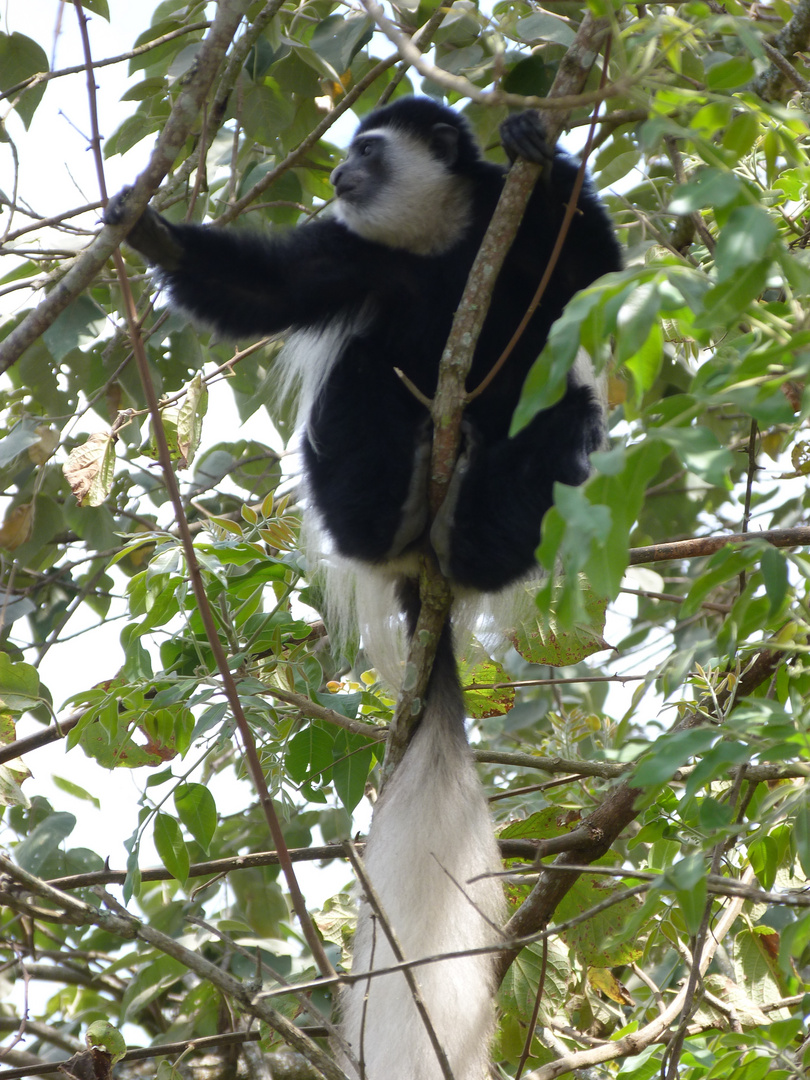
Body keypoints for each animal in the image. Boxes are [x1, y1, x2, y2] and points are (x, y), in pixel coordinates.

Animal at [106, 97, 622, 1075]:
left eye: (369, 150)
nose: (342, 176)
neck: (442, 245)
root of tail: (423, 571)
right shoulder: (354, 258)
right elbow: (266, 292)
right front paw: (149, 229)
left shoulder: (514, 244)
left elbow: (595, 274)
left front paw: (537, 144)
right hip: (360, 447)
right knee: (362, 378)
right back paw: (397, 499)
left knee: (562, 417)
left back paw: (474, 528)